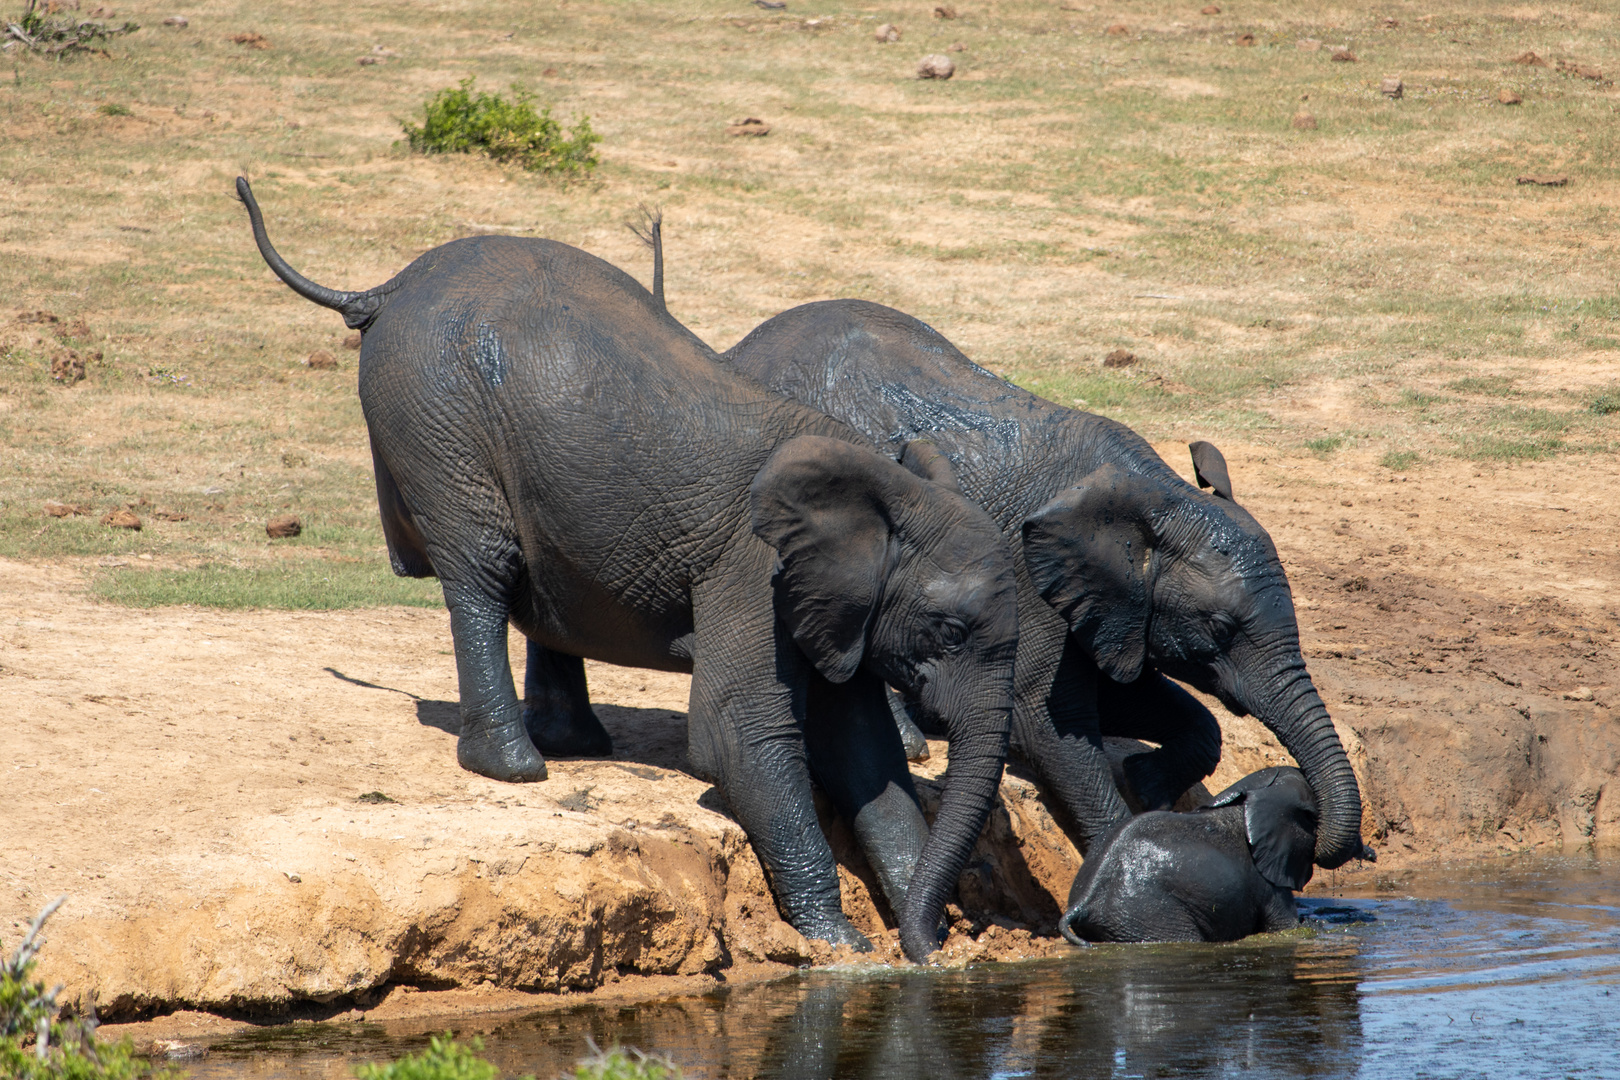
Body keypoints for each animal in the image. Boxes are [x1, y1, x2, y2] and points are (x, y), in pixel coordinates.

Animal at [234, 183, 1017, 965]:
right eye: (949, 631)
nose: (939, 942)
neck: (882, 491)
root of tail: (389, 286)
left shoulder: (835, 607)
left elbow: (864, 752)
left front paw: (922, 945)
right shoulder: (750, 570)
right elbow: (738, 736)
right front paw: (839, 943)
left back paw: (569, 745)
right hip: (436, 410)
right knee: (483, 566)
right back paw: (515, 765)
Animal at [722, 299, 1367, 874]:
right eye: (1222, 628)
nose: (1324, 839)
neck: (1158, 496)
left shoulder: (1115, 605)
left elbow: (1133, 699)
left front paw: (1147, 785)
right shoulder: (1031, 577)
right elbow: (1048, 721)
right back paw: (911, 743)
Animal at [1069, 767, 1373, 945]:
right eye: (1314, 817)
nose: (1369, 853)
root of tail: (1083, 904)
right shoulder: (1265, 881)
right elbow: (1286, 927)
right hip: (1149, 914)